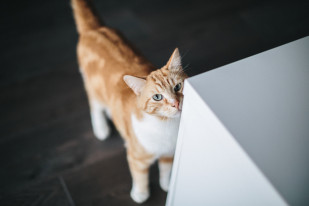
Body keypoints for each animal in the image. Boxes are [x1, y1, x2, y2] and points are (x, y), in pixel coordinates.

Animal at [70, 0, 185, 203]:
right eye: (157, 97)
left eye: (178, 87)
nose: (176, 104)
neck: (166, 125)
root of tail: (96, 29)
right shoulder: (136, 157)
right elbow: (140, 177)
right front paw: (140, 194)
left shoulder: (168, 154)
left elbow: (166, 170)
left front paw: (167, 184)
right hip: (93, 90)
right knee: (95, 106)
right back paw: (101, 128)